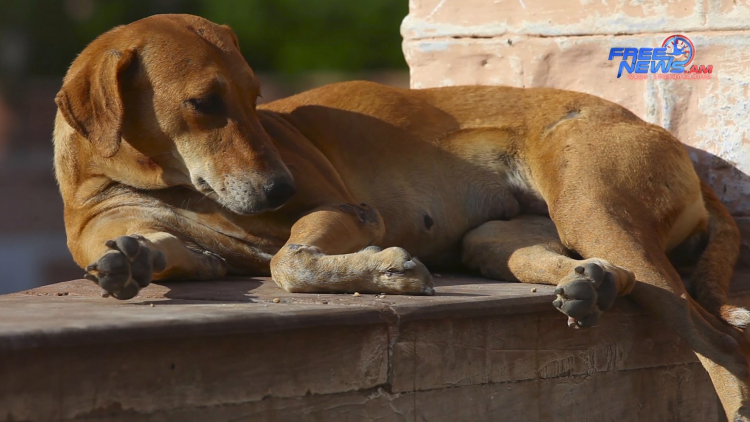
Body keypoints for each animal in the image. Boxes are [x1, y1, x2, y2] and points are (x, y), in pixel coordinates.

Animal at [53, 14, 748, 420]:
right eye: (203, 103)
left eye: (255, 97)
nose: (280, 187)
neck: (150, 180)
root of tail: (661, 134)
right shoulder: (183, 245)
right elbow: (172, 253)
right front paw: (132, 261)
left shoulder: (350, 210)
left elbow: (288, 262)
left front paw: (387, 271)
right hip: (505, 238)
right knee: (605, 275)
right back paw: (592, 286)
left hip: (592, 206)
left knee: (718, 343)